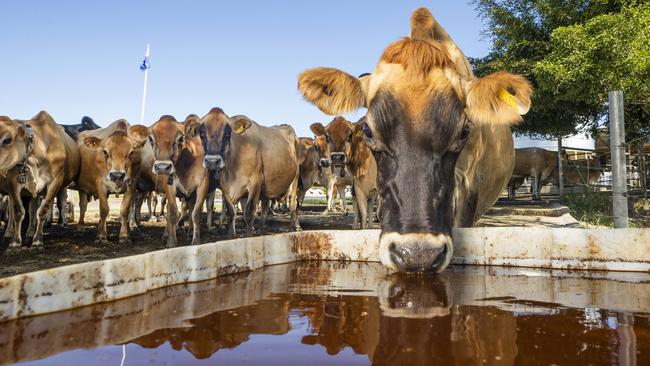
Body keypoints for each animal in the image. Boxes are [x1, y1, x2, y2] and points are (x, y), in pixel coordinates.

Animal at [0, 111, 79, 249]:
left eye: (7, 140)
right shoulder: (13, 182)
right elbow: (18, 211)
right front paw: (15, 241)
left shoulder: (55, 182)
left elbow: (43, 210)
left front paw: (37, 240)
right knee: (27, 209)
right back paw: (22, 233)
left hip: (61, 188)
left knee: (55, 204)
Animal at [146, 114, 210, 246]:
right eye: (150, 138)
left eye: (180, 138)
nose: (162, 167)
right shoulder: (170, 186)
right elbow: (173, 213)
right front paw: (171, 241)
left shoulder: (203, 185)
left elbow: (196, 213)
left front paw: (196, 241)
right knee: (168, 209)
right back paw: (167, 234)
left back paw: (190, 232)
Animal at [197, 107, 302, 236]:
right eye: (202, 134)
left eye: (227, 134)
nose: (212, 161)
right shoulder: (225, 187)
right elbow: (231, 211)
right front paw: (231, 235)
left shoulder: (255, 183)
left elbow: (249, 213)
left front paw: (248, 236)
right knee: (265, 206)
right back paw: (261, 229)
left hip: (295, 178)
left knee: (293, 203)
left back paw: (293, 227)